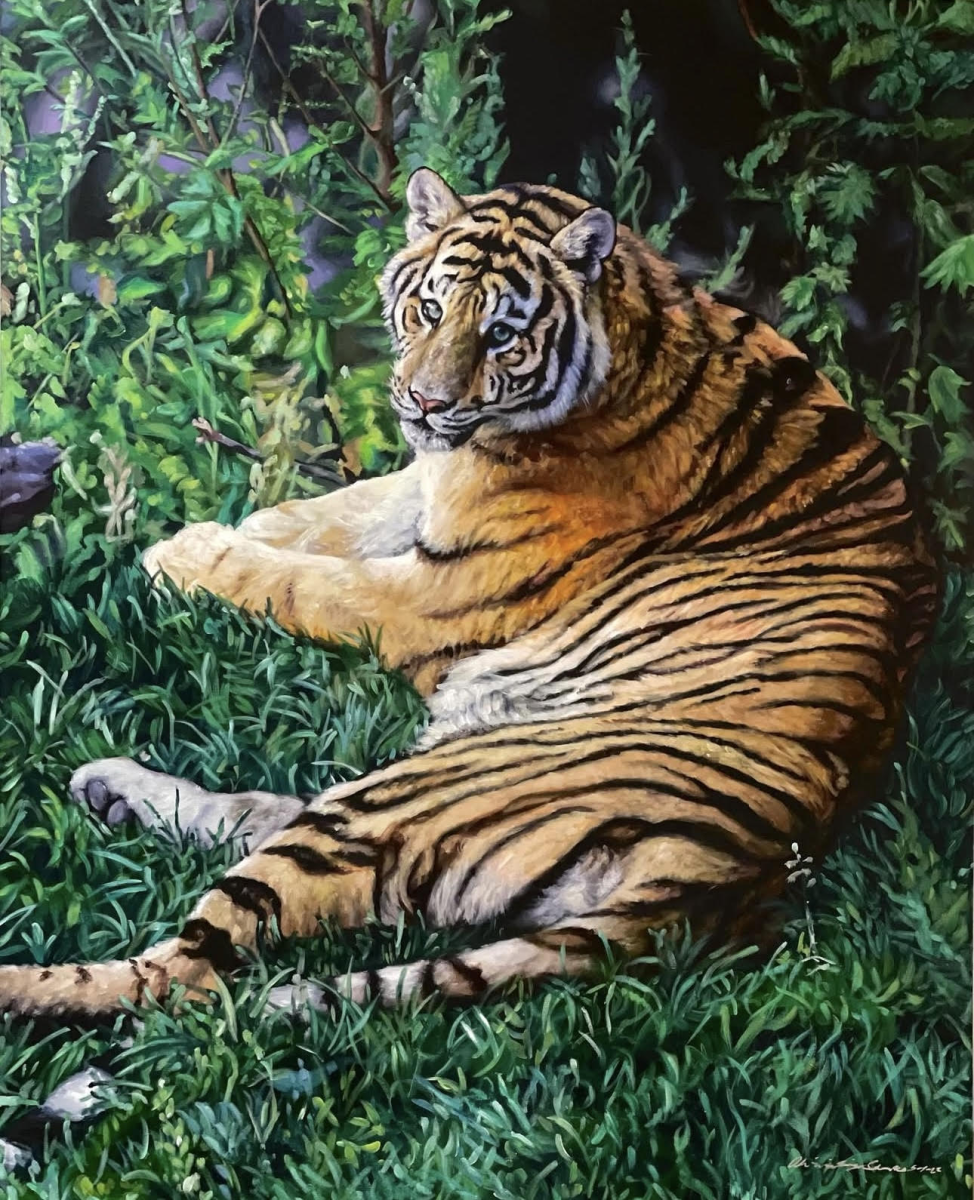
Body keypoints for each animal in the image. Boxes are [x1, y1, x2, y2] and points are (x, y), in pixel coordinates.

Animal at [0, 168, 938, 1021]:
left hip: (415, 793)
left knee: (185, 975)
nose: (423, 401)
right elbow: (325, 515)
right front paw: (233, 527)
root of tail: (727, 870)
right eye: (428, 309)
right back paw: (110, 787)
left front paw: (180, 553)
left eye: (501, 335)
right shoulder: (426, 486)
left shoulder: (431, 596)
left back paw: (30, 980)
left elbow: (302, 580)